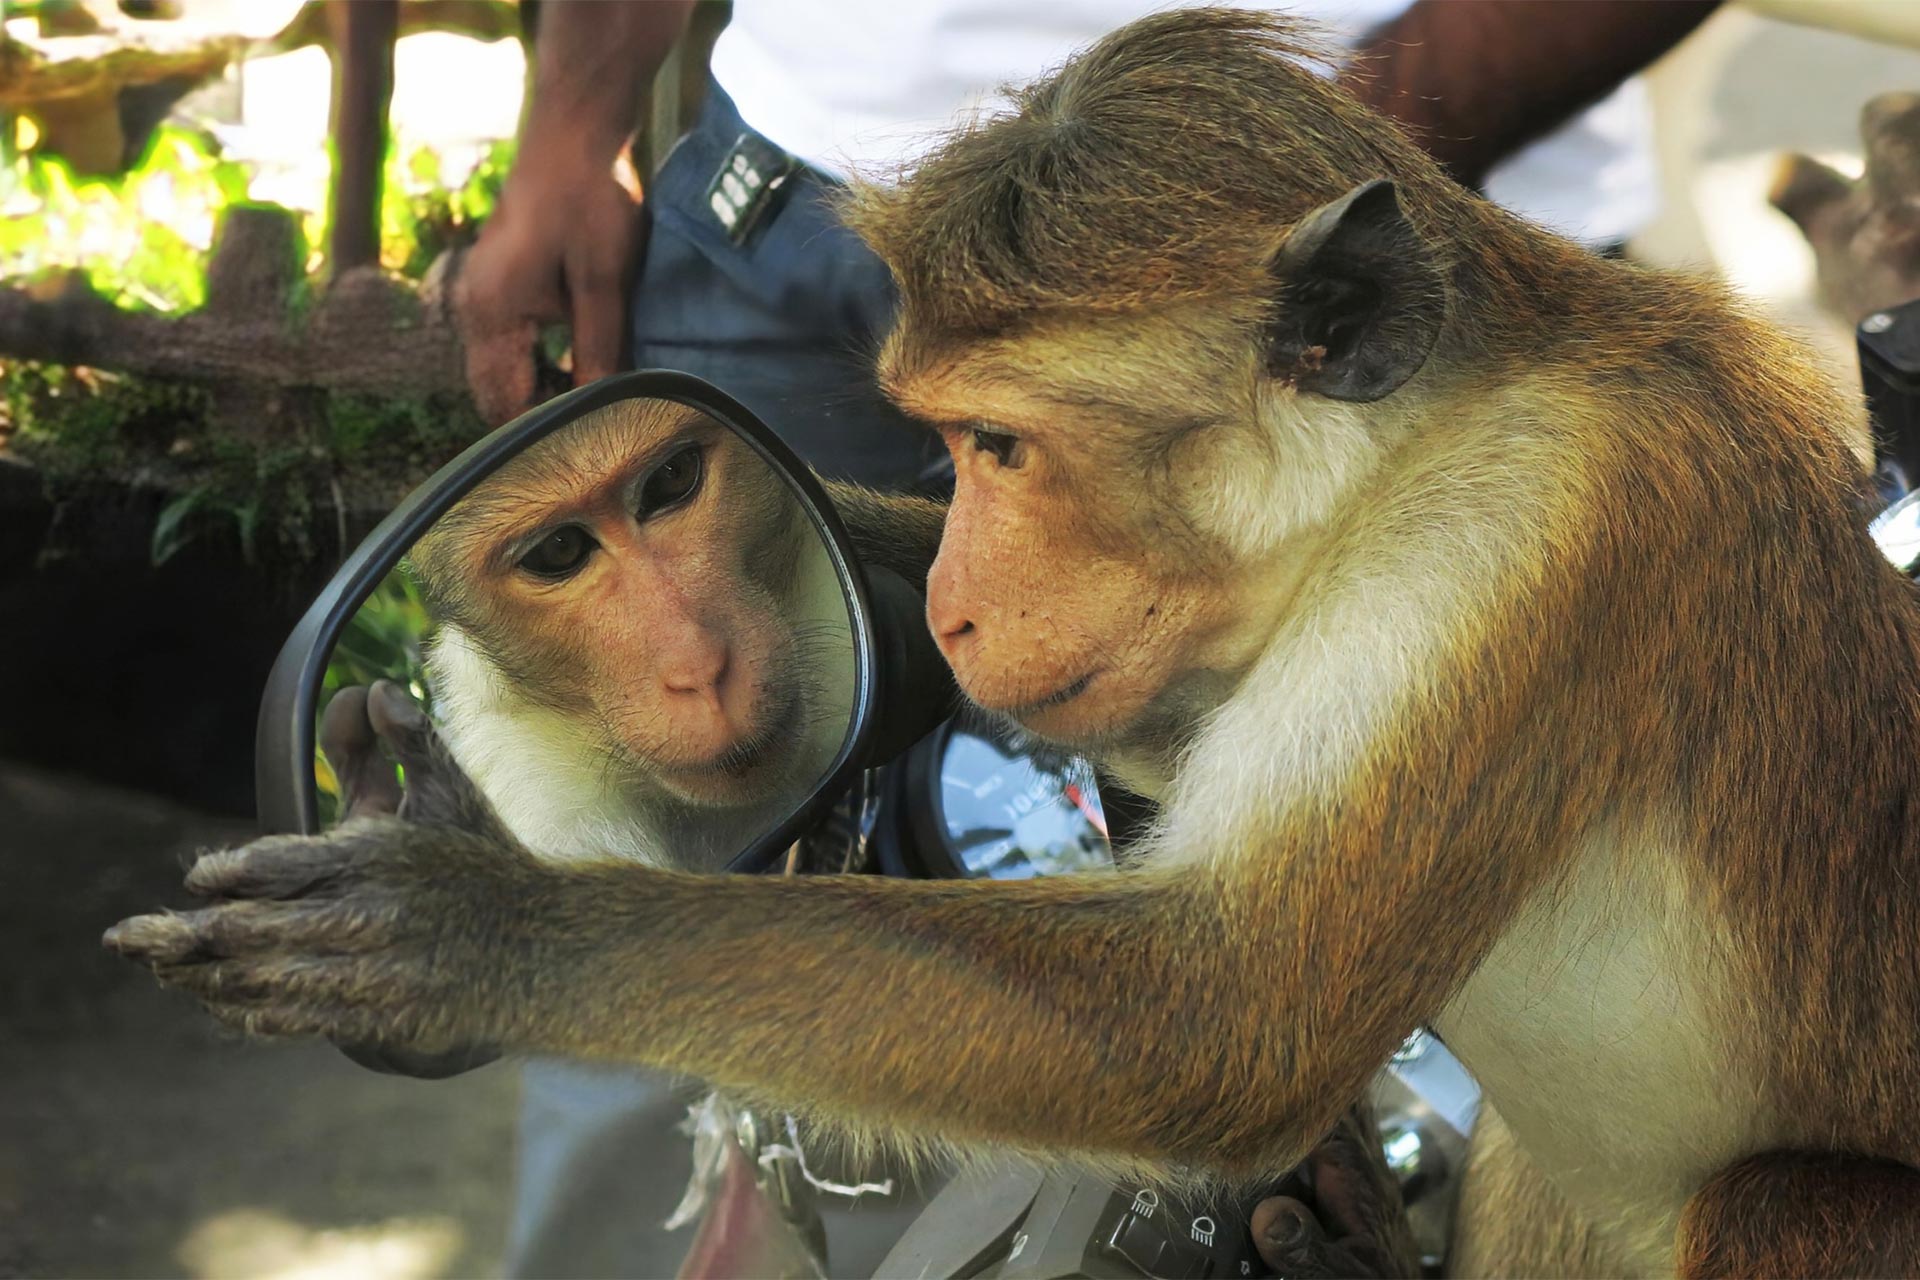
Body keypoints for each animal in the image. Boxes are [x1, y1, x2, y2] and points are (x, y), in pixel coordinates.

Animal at [108, 7, 1920, 1274]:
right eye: (947, 447)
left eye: (1001, 445)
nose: (966, 600)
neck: (1399, 467)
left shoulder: (1517, 547)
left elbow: (1213, 1021)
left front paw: (481, 929)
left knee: (1780, 1208)